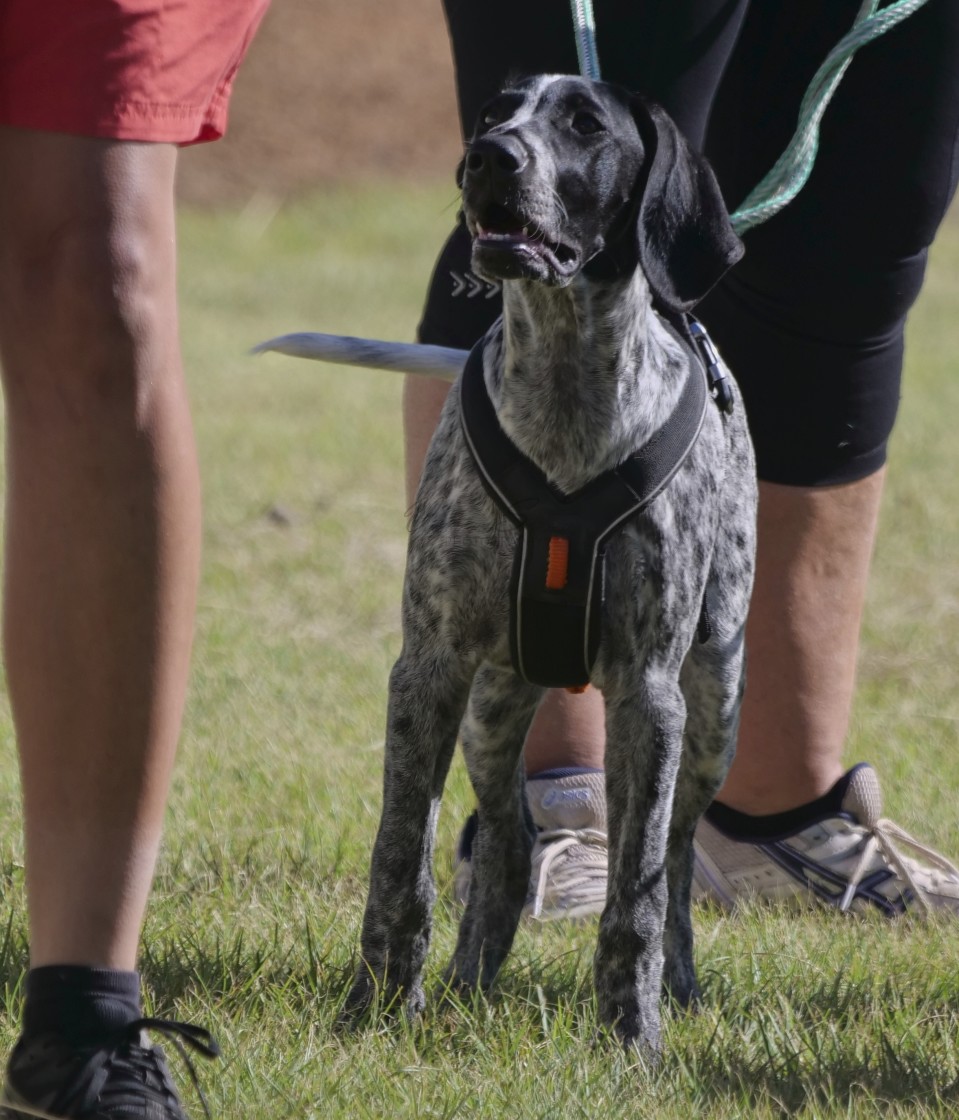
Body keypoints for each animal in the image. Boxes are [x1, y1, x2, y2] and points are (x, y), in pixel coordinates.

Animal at [345, 74, 757, 1052]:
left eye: (584, 126)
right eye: (495, 112)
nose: (491, 157)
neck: (567, 386)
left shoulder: (649, 696)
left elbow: (635, 894)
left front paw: (632, 1036)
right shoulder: (429, 671)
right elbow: (399, 861)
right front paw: (373, 1009)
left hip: (714, 706)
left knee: (675, 859)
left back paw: (676, 987)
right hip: (492, 710)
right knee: (505, 840)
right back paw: (464, 982)